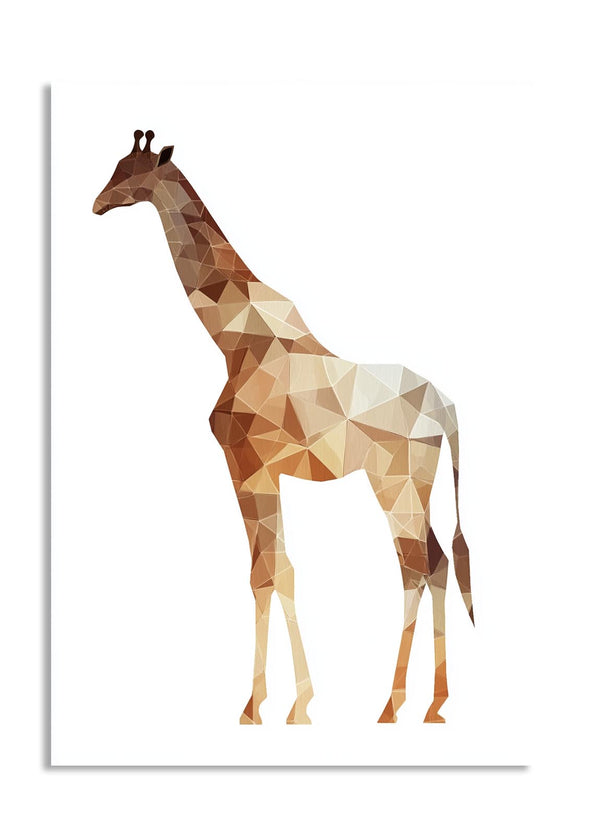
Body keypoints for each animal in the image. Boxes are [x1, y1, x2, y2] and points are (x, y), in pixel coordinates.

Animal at [93, 130, 474, 725]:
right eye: (115, 166)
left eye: (132, 173)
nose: (96, 203)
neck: (232, 340)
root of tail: (448, 409)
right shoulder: (261, 470)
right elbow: (274, 569)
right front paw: (283, 701)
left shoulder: (247, 464)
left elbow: (269, 571)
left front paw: (270, 707)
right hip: (412, 485)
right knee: (432, 565)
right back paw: (433, 704)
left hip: (397, 484)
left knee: (418, 566)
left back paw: (392, 706)